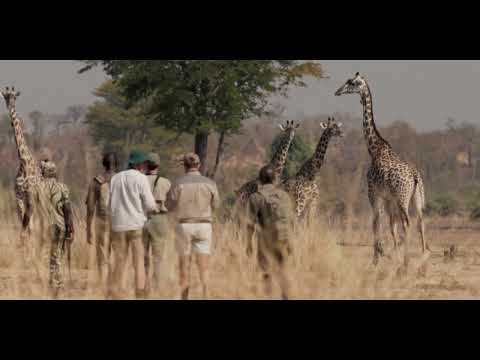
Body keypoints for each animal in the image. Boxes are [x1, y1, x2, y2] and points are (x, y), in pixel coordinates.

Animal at [334, 72, 428, 268]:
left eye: (352, 82)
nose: (337, 91)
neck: (375, 148)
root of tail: (415, 177)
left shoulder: (374, 194)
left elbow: (376, 224)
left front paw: (376, 259)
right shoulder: (388, 198)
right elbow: (391, 226)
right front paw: (392, 256)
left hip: (402, 198)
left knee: (407, 223)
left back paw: (407, 262)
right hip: (417, 198)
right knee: (420, 222)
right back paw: (422, 262)